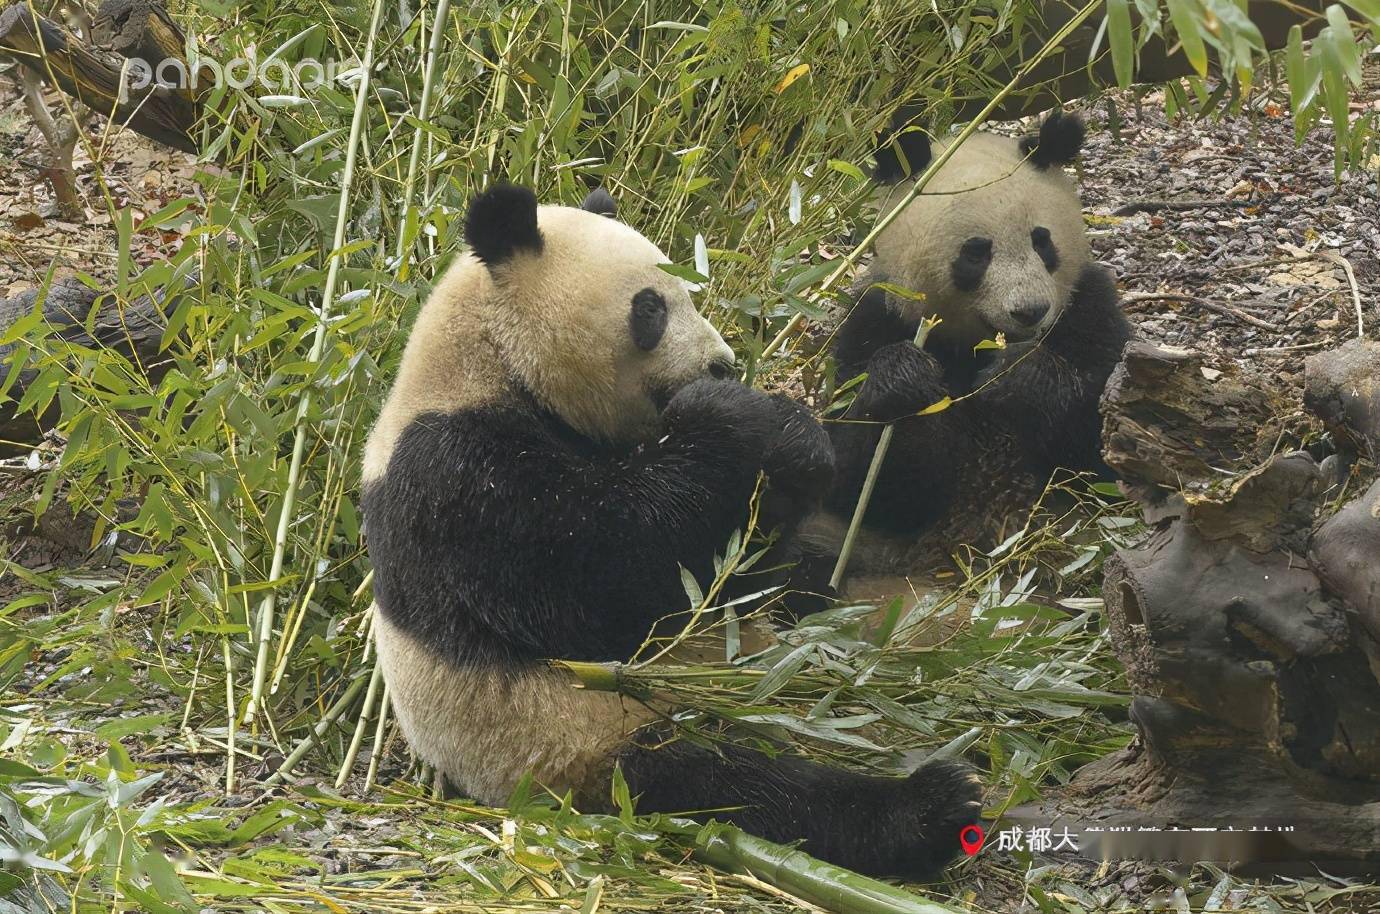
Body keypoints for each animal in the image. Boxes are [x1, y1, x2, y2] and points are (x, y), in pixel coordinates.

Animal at [356, 185, 982, 883]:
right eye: (650, 308)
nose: (723, 364)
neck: (488, 362)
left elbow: (745, 567)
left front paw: (833, 423)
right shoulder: (455, 477)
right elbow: (608, 578)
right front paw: (738, 416)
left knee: (812, 602)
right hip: (593, 737)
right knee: (746, 786)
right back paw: (930, 807)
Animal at [805, 112, 1131, 574]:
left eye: (1042, 240)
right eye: (977, 252)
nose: (1030, 311)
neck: (976, 346)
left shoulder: (1087, 306)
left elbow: (1105, 440)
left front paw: (1016, 377)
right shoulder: (877, 317)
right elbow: (866, 484)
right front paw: (906, 379)